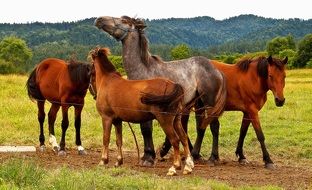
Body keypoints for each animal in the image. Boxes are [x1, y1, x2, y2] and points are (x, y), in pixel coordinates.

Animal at [89, 47, 194, 175]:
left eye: (91, 68)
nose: (93, 93)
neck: (107, 80)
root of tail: (174, 85)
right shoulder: (118, 121)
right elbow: (119, 141)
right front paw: (118, 161)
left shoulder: (106, 118)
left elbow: (106, 139)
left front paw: (103, 161)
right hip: (176, 120)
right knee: (183, 138)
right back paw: (188, 166)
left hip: (165, 121)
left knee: (175, 140)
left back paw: (174, 167)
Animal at [95, 15, 227, 166]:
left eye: (124, 21)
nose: (99, 19)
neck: (144, 69)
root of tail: (216, 70)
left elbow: (146, 130)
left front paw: (148, 157)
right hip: (199, 104)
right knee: (201, 127)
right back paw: (194, 155)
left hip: (209, 103)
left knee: (214, 126)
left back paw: (213, 157)